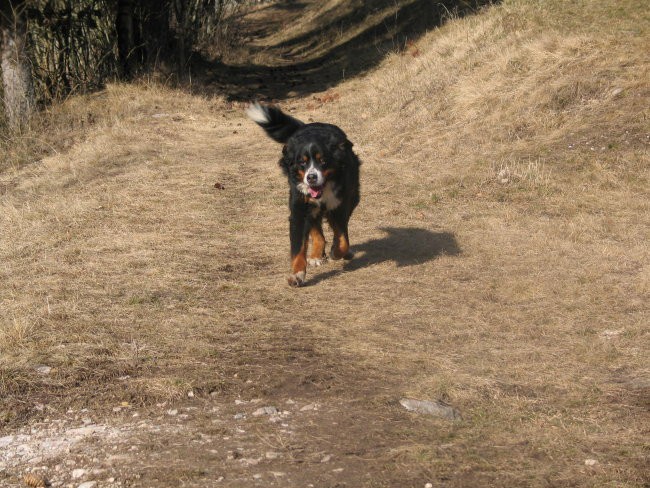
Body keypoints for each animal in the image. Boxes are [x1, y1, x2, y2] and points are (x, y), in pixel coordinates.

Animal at [247, 103, 360, 286]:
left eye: (323, 161)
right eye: (302, 162)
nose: (311, 177)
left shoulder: (340, 205)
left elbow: (343, 239)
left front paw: (336, 252)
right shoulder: (299, 208)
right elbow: (298, 246)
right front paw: (297, 275)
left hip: (352, 197)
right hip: (310, 207)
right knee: (316, 228)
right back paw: (315, 255)